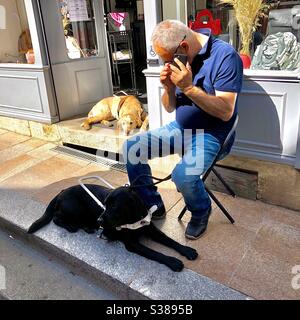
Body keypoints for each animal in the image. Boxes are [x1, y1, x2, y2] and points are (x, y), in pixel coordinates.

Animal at [27, 182, 198, 270]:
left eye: (114, 206)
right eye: (104, 205)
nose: (100, 220)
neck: (133, 220)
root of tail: (61, 191)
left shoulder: (152, 230)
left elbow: (170, 241)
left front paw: (187, 250)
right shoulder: (132, 244)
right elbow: (155, 253)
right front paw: (173, 261)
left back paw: (88, 227)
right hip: (75, 209)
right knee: (57, 218)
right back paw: (73, 227)